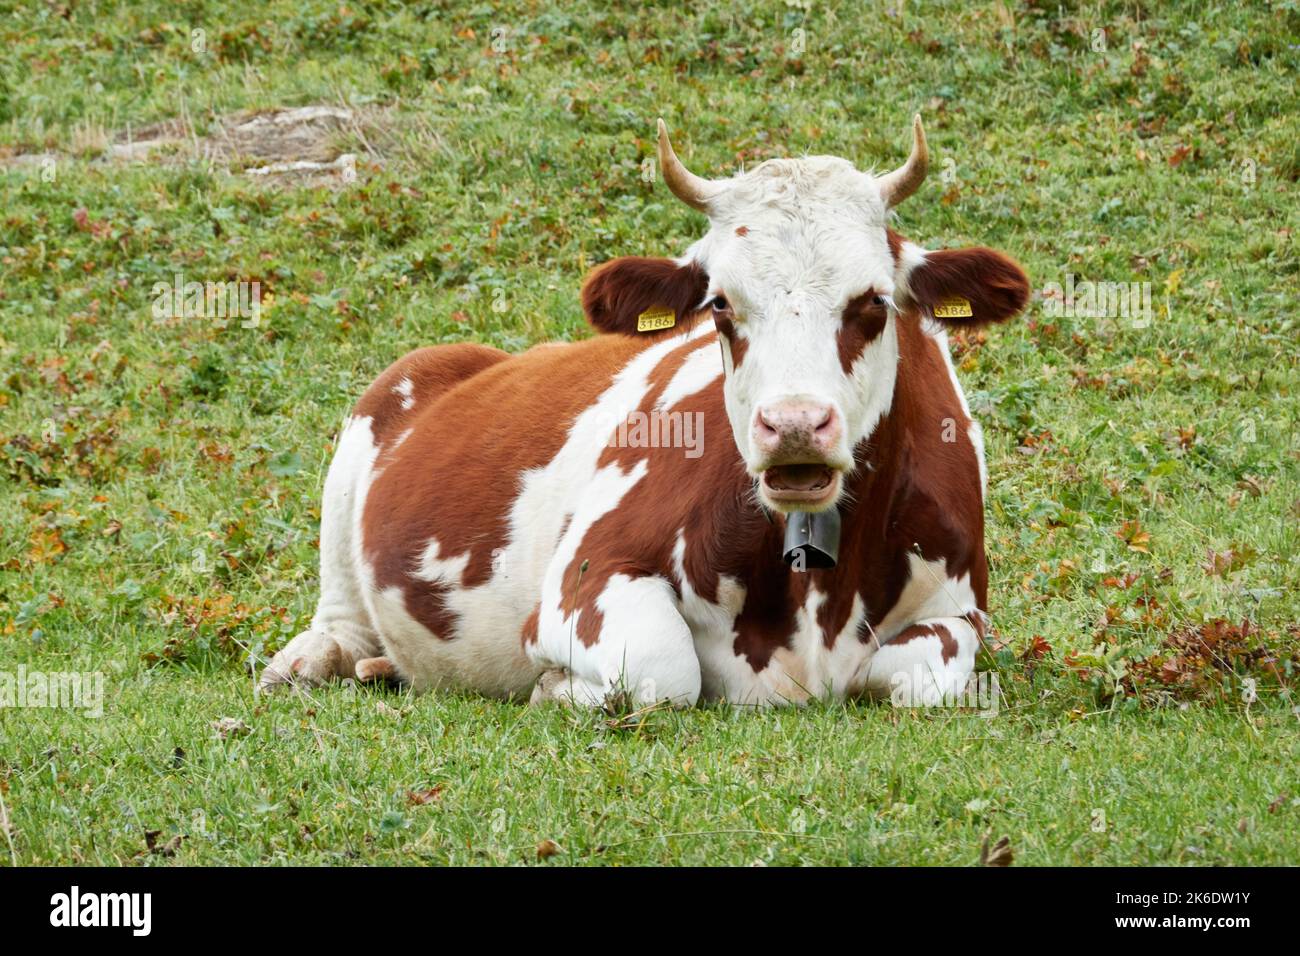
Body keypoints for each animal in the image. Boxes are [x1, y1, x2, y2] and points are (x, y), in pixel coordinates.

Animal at [258, 117, 1030, 708]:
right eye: (719, 304)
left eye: (872, 300)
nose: (793, 427)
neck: (817, 598)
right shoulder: (583, 580)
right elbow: (665, 667)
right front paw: (556, 688)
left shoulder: (961, 610)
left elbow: (921, 675)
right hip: (369, 425)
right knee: (339, 611)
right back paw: (313, 660)